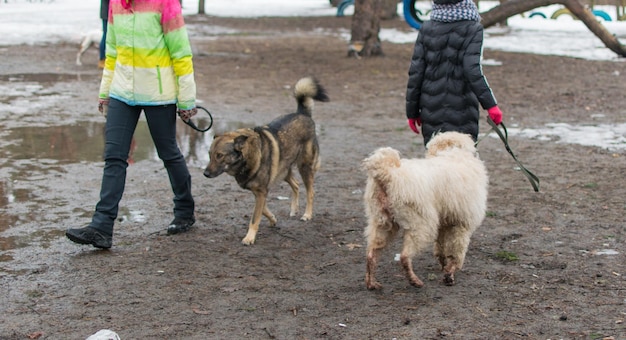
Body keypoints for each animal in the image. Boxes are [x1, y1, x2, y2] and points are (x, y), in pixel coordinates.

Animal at [202, 77, 330, 244]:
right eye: (209, 154)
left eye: (220, 155)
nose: (205, 174)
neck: (248, 158)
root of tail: (302, 114)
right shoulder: (259, 191)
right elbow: (263, 210)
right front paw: (273, 219)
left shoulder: (261, 191)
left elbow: (255, 217)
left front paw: (249, 238)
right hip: (283, 170)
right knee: (296, 185)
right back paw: (294, 209)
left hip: (304, 167)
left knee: (311, 192)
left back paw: (307, 215)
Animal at [360, 131, 488, 288]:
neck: (452, 152)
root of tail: (388, 174)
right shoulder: (462, 226)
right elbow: (457, 253)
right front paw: (450, 274)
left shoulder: (444, 224)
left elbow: (441, 247)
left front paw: (444, 265)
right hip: (421, 225)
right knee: (404, 256)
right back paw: (414, 281)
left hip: (382, 223)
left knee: (371, 255)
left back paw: (371, 283)